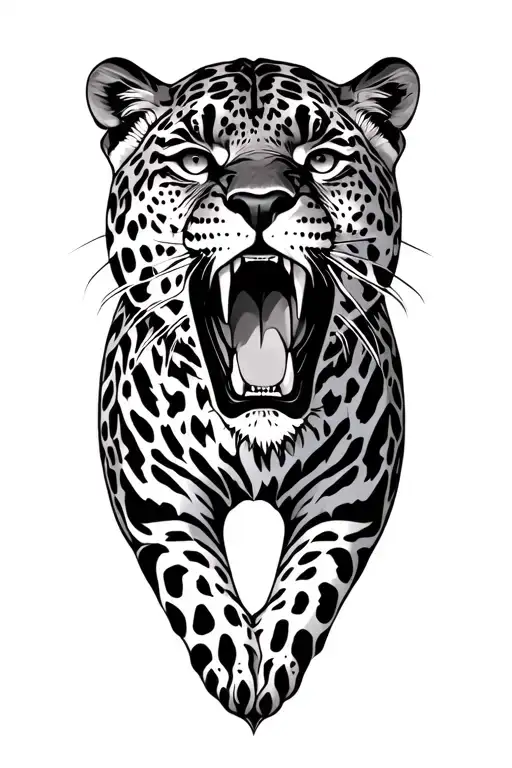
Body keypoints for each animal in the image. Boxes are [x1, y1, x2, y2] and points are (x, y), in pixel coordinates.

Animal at [86, 55, 420, 731]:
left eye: (321, 157)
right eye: (195, 159)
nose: (260, 203)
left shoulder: (347, 506)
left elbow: (313, 583)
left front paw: (268, 665)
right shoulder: (159, 508)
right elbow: (195, 587)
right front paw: (239, 666)